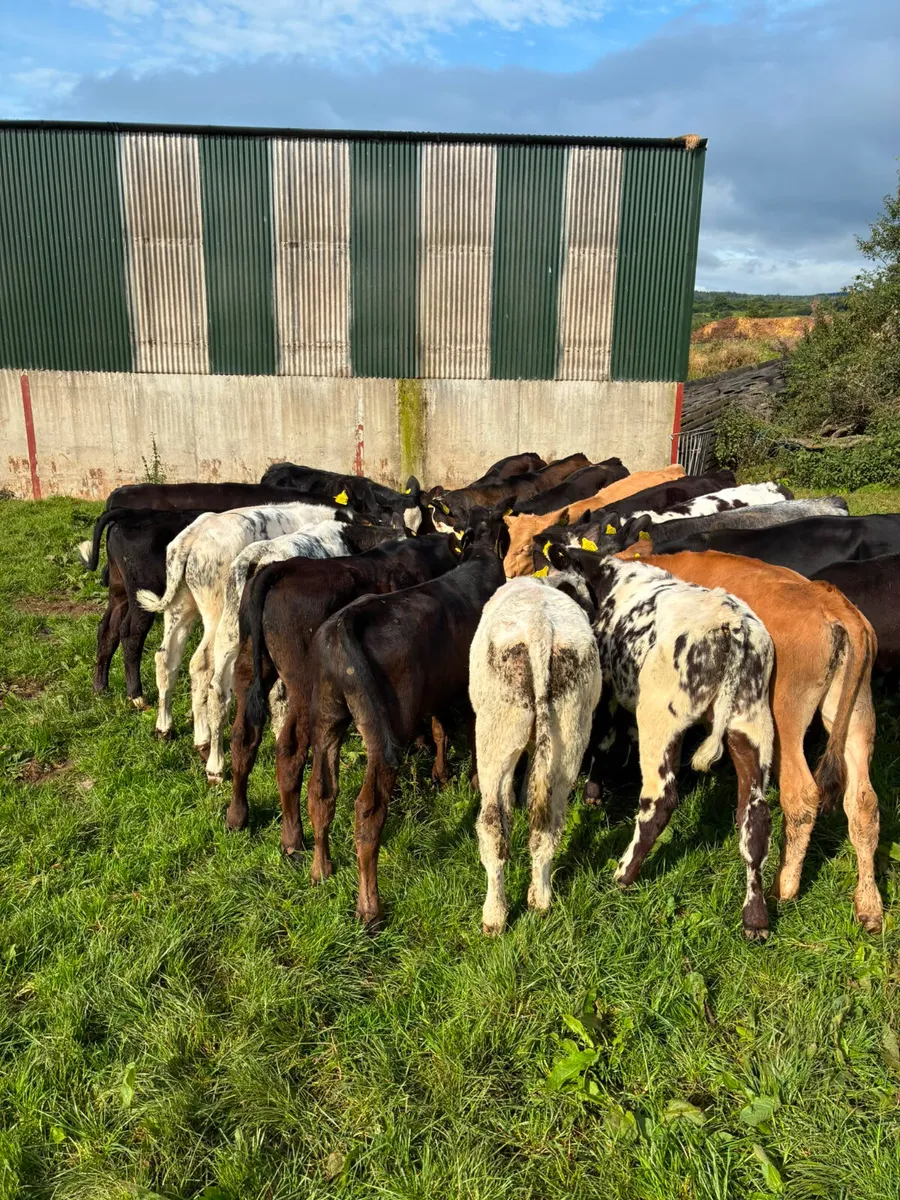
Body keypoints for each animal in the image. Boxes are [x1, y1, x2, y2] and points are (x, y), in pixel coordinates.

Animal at [136, 499, 346, 749]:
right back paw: (204, 737)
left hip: (181, 607)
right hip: (218, 616)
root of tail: (193, 535)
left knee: (167, 657)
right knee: (203, 665)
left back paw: (166, 727)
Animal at [226, 534, 462, 860]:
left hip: (249, 663)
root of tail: (283, 568)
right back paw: (293, 840)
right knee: (289, 751)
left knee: (243, 735)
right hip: (304, 686)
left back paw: (236, 817)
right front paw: (440, 771)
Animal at [304, 512, 507, 927]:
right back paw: (370, 908)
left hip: (327, 714)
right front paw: (473, 780)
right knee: (368, 811)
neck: (481, 558)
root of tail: (344, 623)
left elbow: (441, 728)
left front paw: (442, 775)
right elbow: (471, 735)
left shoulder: (439, 687)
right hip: (385, 731)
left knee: (320, 792)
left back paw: (321, 869)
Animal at [470, 578, 602, 934]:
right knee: (548, 823)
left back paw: (494, 917)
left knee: (492, 826)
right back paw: (540, 901)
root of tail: (540, 628)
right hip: (569, 737)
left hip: (495, 734)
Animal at [534, 541, 776, 938]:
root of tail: (731, 625)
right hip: (751, 724)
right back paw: (755, 917)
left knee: (660, 802)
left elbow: (604, 740)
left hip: (661, 717)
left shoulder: (608, 687)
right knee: (754, 818)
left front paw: (594, 792)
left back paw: (624, 874)